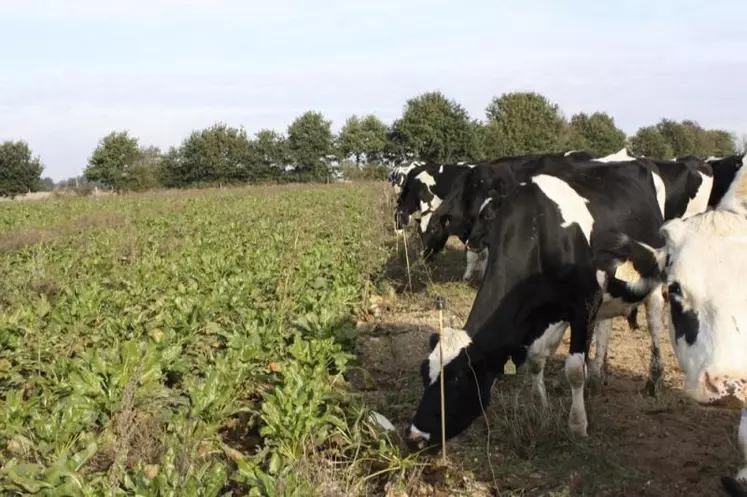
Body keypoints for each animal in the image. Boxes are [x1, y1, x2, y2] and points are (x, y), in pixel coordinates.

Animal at [406, 157, 668, 448]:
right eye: (423, 374)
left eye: (456, 380)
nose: (414, 437)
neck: (537, 231)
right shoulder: (544, 310)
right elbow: (535, 357)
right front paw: (540, 403)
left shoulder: (584, 305)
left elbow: (574, 370)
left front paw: (578, 425)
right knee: (605, 327)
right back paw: (599, 375)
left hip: (653, 279)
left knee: (655, 325)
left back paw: (653, 379)